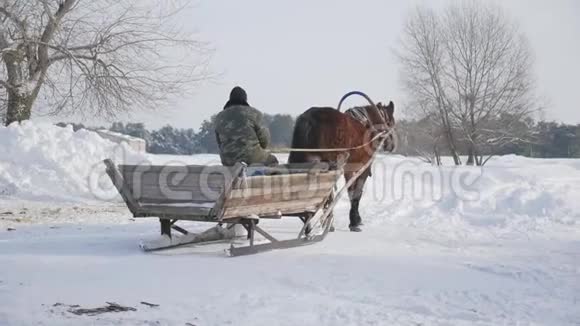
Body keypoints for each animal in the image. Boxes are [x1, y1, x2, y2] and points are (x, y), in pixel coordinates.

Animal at [288, 91, 396, 232]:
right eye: (391, 122)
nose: (392, 145)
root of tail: (310, 119)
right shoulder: (360, 168)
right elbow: (355, 194)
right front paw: (355, 221)